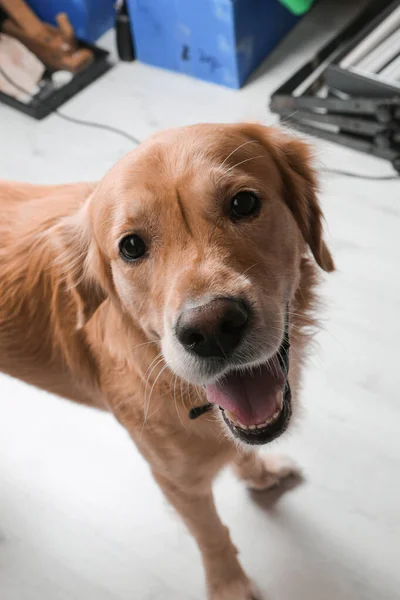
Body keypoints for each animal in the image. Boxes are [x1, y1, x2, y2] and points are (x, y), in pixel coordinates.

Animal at [0, 123, 334, 600]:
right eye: (131, 247)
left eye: (244, 203)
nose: (211, 328)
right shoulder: (175, 481)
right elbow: (211, 534)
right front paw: (230, 585)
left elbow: (241, 450)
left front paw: (258, 472)